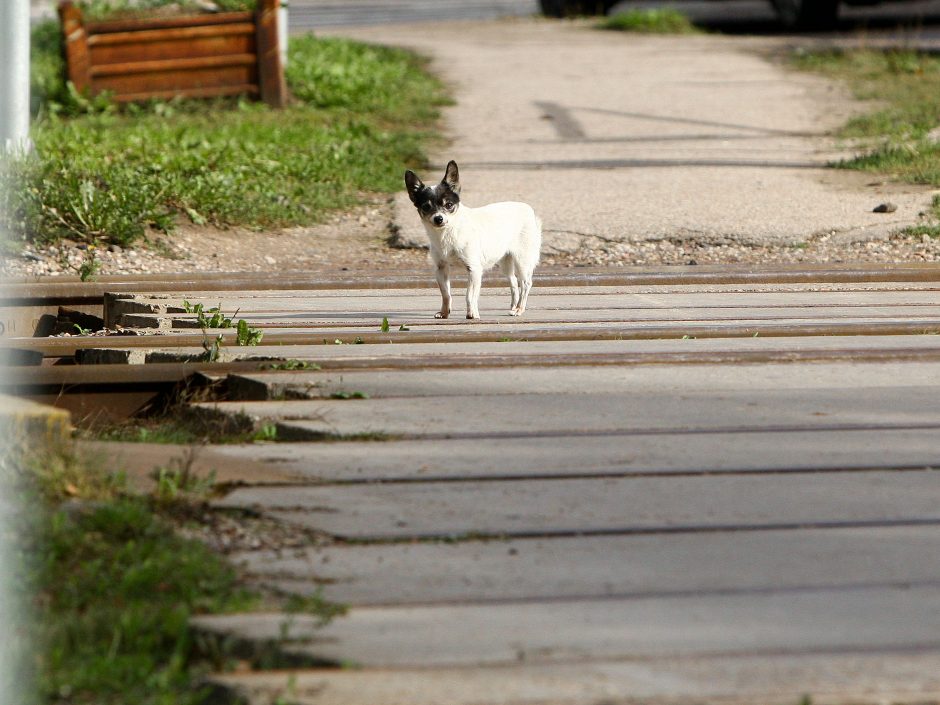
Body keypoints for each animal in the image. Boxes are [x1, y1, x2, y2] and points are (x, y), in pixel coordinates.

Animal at [404, 161, 544, 318]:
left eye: (449, 205)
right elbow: (446, 294)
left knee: (526, 284)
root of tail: (528, 209)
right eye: (426, 207)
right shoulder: (441, 269)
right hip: (505, 262)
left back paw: (520, 308)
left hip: (522, 261)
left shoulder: (474, 270)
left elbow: (470, 295)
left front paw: (472, 313)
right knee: (513, 282)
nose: (438, 218)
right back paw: (514, 307)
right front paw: (444, 312)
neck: (446, 234)